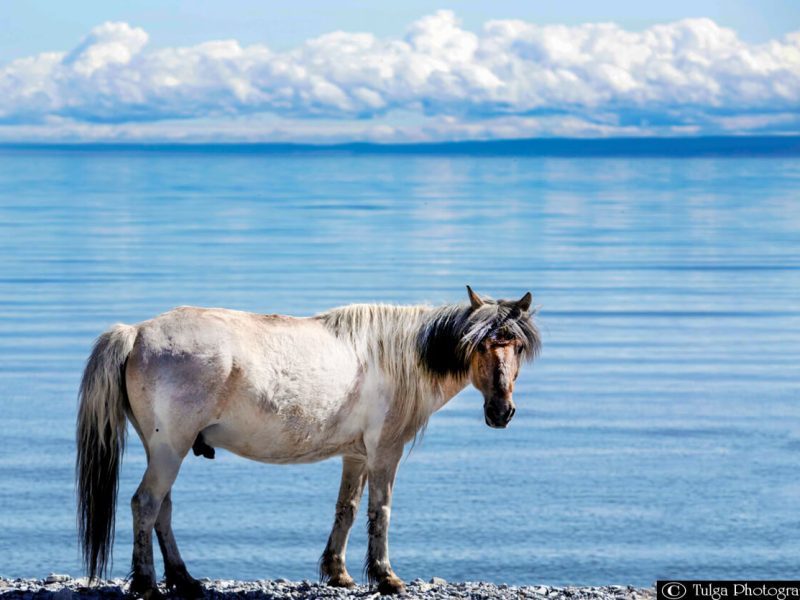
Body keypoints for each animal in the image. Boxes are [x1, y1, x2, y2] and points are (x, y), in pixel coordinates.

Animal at [76, 286, 541, 598]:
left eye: (516, 345)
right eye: (480, 344)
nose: (501, 412)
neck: (401, 356)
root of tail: (136, 333)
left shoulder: (356, 455)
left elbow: (346, 510)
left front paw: (339, 573)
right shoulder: (384, 451)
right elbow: (380, 511)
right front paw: (386, 577)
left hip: (163, 448)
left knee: (162, 510)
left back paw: (183, 579)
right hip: (169, 448)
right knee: (146, 504)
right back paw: (147, 584)